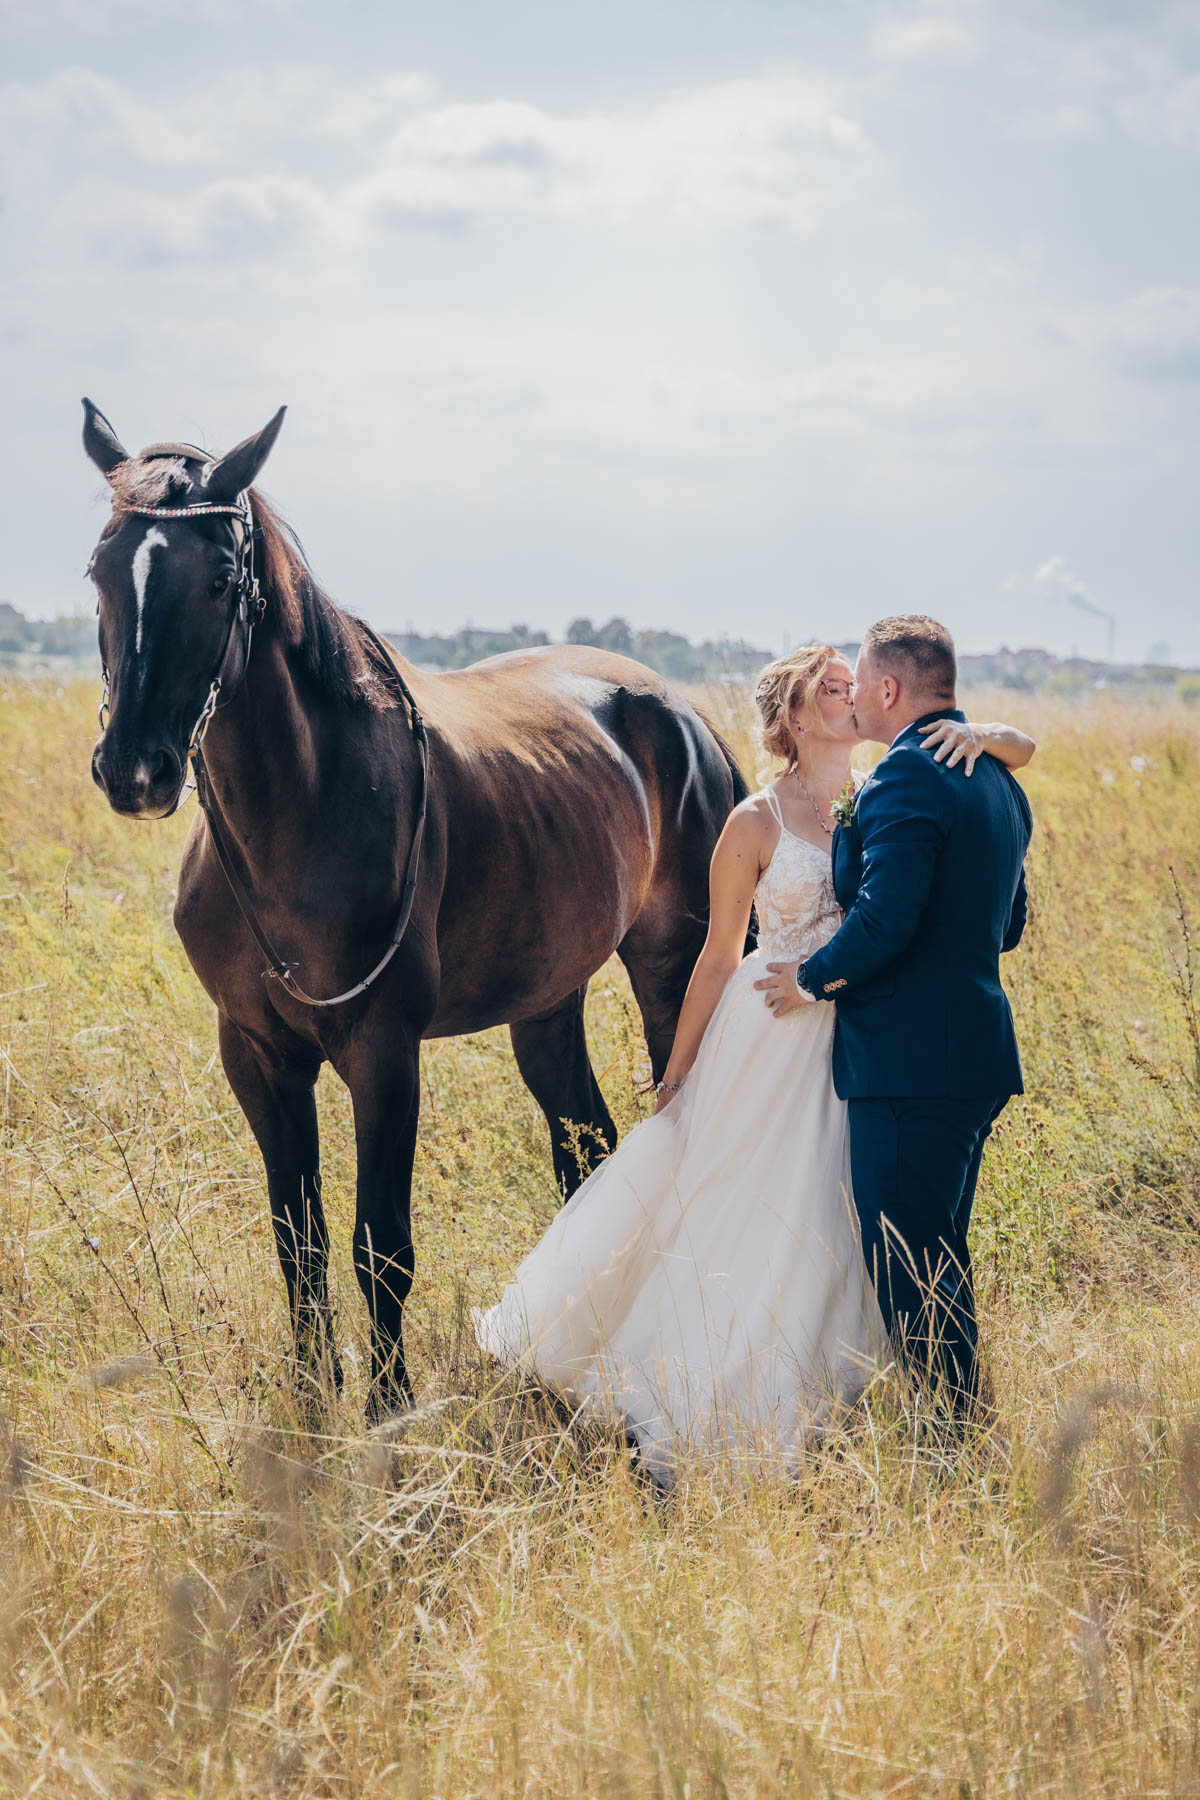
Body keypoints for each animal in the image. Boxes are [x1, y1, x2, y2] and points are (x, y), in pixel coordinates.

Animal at [82, 400, 751, 1418]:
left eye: (223, 578)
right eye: (100, 570)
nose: (135, 770)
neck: (303, 806)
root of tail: (681, 715)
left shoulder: (382, 1051)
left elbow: (380, 1248)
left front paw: (387, 1413)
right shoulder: (256, 1055)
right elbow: (300, 1241)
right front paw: (312, 1406)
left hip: (674, 971)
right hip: (545, 1003)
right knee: (586, 1150)